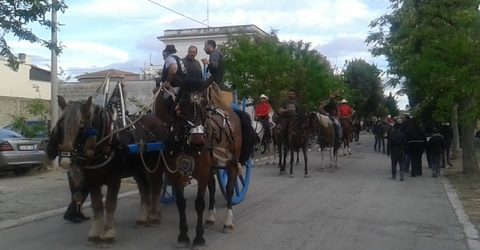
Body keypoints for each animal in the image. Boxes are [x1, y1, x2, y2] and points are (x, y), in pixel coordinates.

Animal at [48, 96, 169, 244]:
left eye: (81, 123)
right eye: (60, 124)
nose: (65, 160)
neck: (107, 143)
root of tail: (159, 122)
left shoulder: (114, 179)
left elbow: (110, 204)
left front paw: (109, 232)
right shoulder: (91, 180)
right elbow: (97, 205)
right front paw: (96, 232)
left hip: (154, 166)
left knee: (156, 186)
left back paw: (154, 216)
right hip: (137, 170)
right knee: (144, 189)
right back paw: (142, 218)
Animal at [156, 83, 256, 247]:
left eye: (204, 105)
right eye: (182, 103)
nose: (198, 142)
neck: (185, 144)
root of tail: (232, 111)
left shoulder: (202, 173)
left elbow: (199, 203)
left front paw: (198, 237)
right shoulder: (176, 175)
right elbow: (181, 203)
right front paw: (183, 236)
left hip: (231, 164)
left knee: (229, 189)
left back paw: (228, 222)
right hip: (212, 166)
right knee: (213, 187)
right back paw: (210, 217)